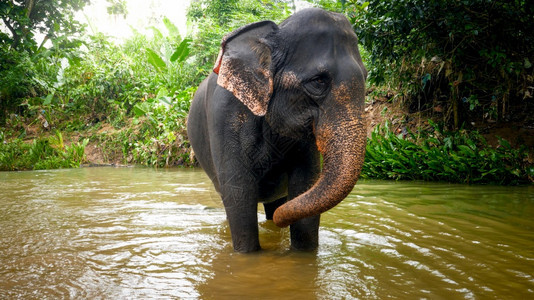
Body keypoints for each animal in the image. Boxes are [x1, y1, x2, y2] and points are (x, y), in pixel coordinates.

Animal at [187, 7, 368, 252]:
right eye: (318, 81)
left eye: (366, 76)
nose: (282, 222)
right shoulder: (224, 113)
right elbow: (238, 193)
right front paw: (247, 255)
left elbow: (304, 184)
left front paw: (302, 254)